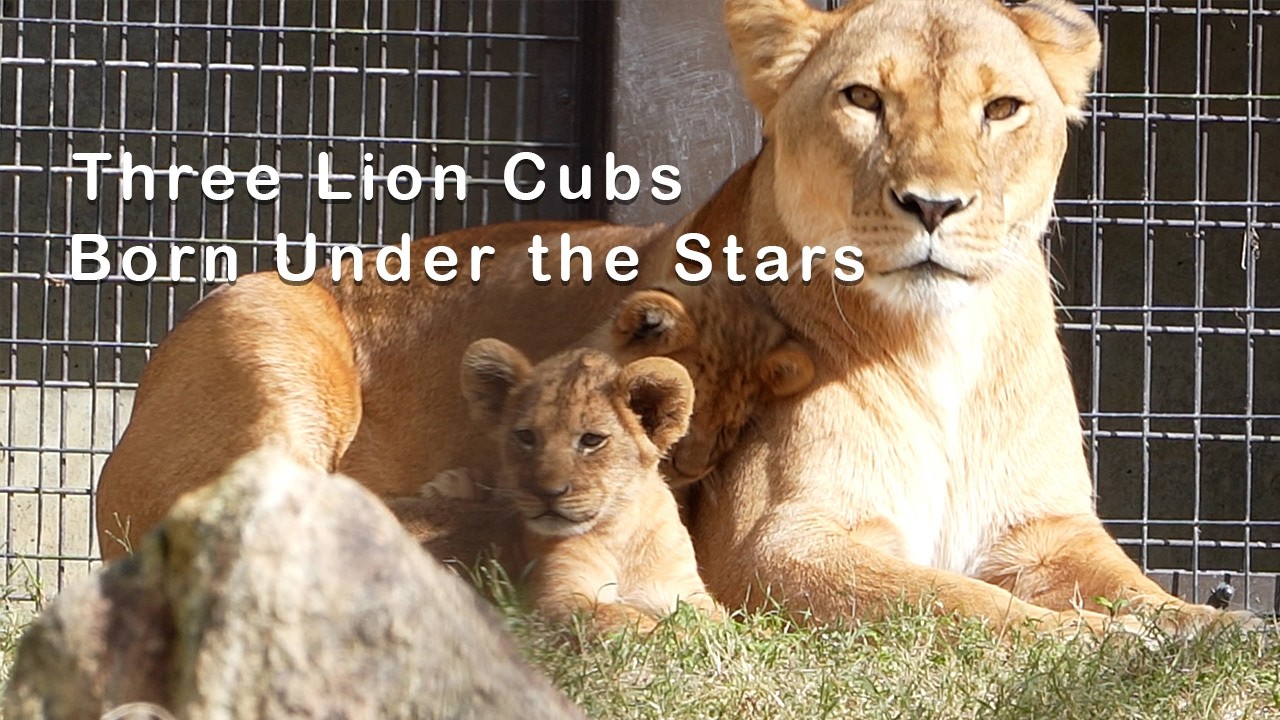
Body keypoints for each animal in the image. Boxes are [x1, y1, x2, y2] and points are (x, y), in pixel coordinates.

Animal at [393, 341, 723, 634]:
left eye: (591, 440)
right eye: (526, 436)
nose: (547, 493)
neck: (619, 534)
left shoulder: (685, 591)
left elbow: (718, 627)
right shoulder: (558, 599)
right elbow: (627, 620)